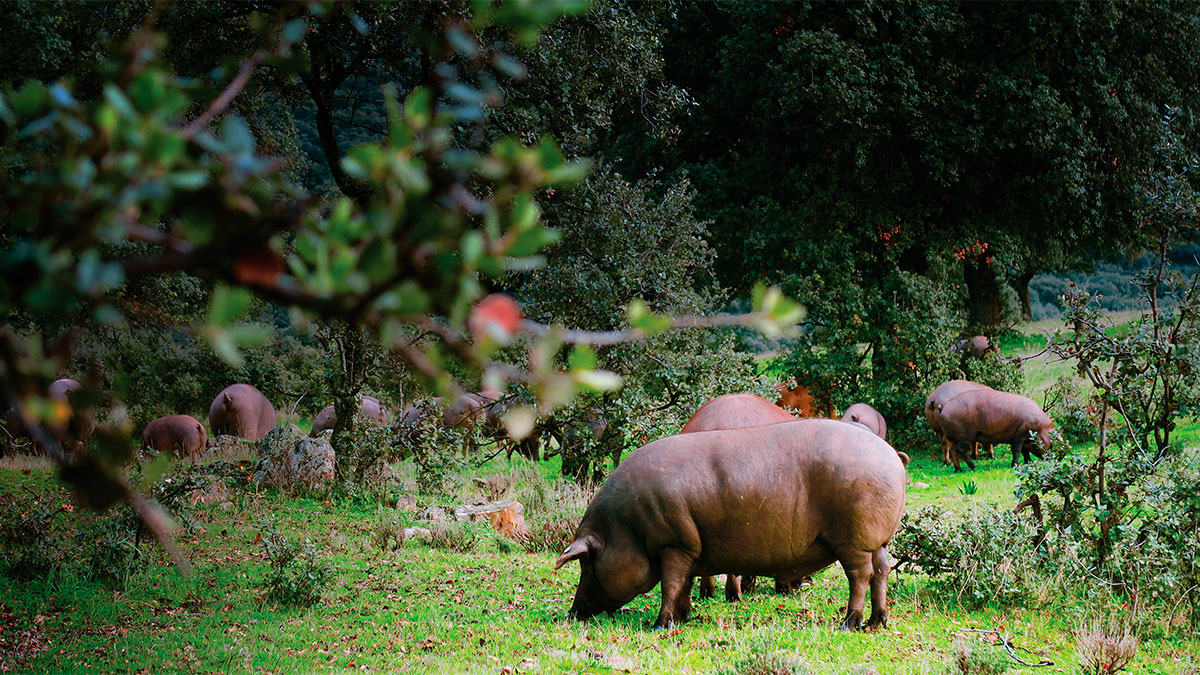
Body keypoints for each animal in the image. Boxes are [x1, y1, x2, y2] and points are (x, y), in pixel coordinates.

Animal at [555, 419, 906, 631]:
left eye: (587, 561)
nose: (572, 614)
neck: (627, 528)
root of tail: (892, 457)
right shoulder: (689, 548)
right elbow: (683, 584)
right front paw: (684, 618)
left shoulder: (674, 544)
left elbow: (670, 584)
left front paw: (660, 625)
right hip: (878, 539)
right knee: (882, 570)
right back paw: (878, 622)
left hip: (853, 538)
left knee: (860, 575)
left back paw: (849, 623)